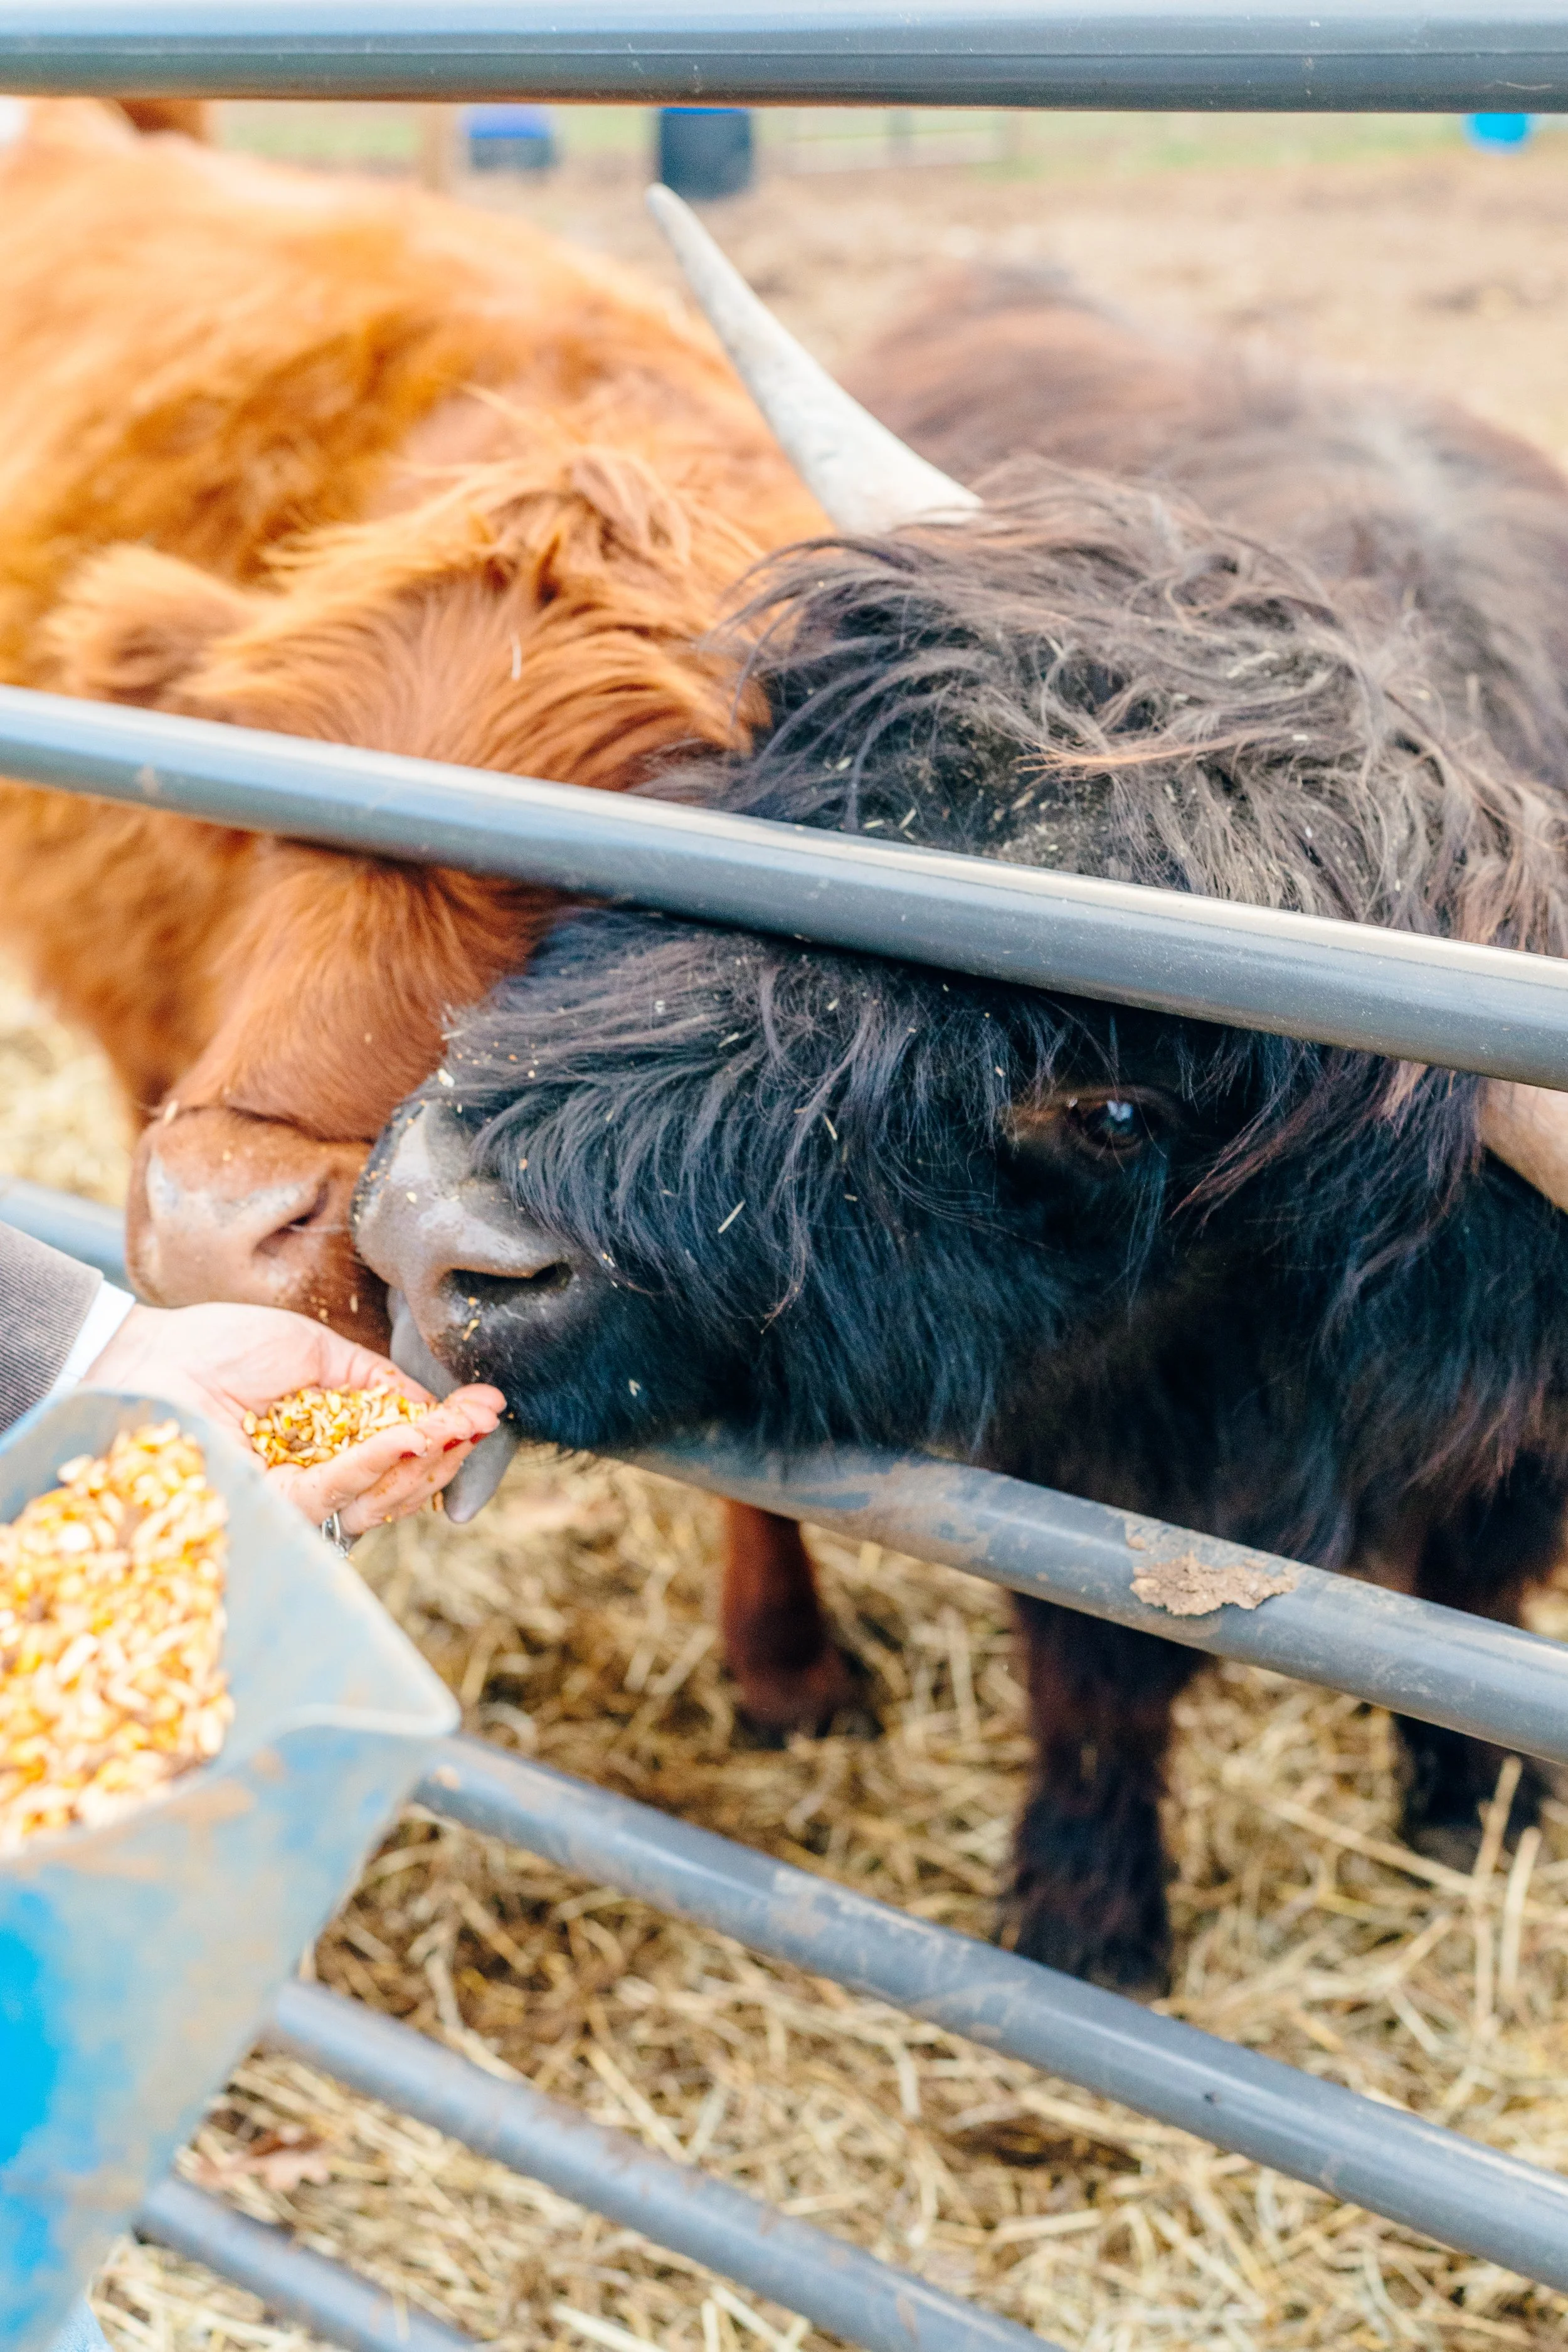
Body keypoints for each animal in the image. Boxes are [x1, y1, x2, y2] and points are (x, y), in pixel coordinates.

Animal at [357, 210, 1568, 1993]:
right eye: (799, 809)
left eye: (1112, 1107)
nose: (432, 1229)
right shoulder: (1080, 1450)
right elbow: (1095, 1668)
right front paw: (1087, 1917)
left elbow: (1476, 1605)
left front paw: (1472, 1803)